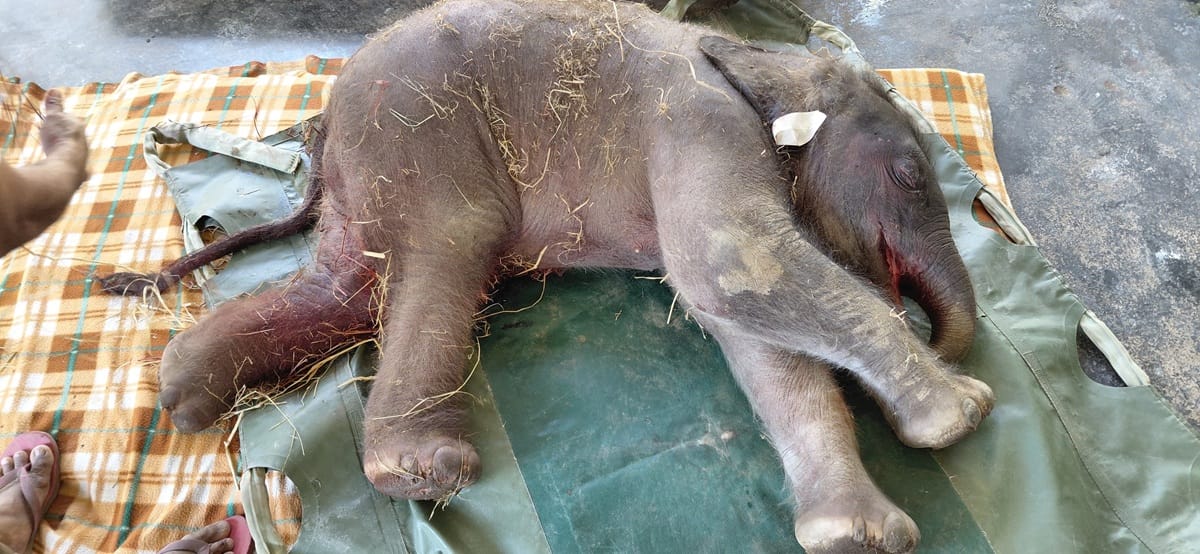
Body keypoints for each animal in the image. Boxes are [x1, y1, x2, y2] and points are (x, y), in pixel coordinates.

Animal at [101, 1, 991, 551]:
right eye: (910, 176)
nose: (940, 340)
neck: (761, 60)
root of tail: (324, 119)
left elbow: (746, 324)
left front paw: (858, 534)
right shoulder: (700, 124)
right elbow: (732, 266)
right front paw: (962, 412)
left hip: (368, 177)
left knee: (348, 287)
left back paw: (185, 393)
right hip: (420, 132)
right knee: (447, 252)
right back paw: (422, 470)